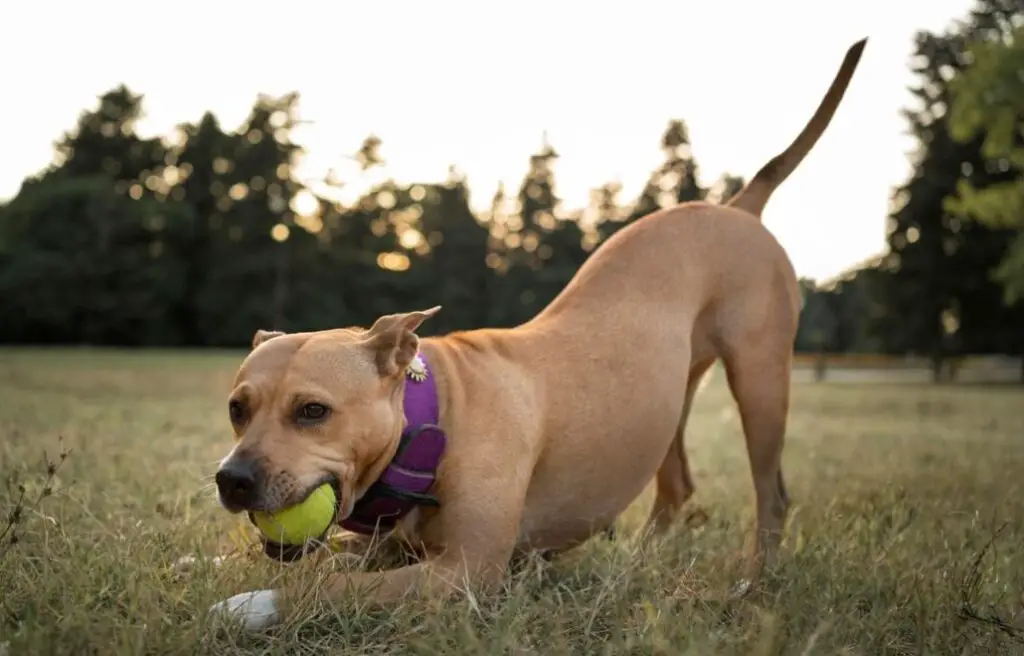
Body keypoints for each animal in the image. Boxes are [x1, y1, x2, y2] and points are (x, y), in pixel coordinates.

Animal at [211, 39, 868, 630]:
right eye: (237, 409)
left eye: (313, 411)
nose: (232, 479)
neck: (433, 417)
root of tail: (737, 207)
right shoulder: (391, 547)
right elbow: (313, 561)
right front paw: (214, 563)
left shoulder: (465, 571)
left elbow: (333, 586)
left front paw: (251, 604)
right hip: (668, 399)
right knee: (678, 486)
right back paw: (636, 567)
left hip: (760, 379)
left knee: (771, 493)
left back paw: (751, 582)